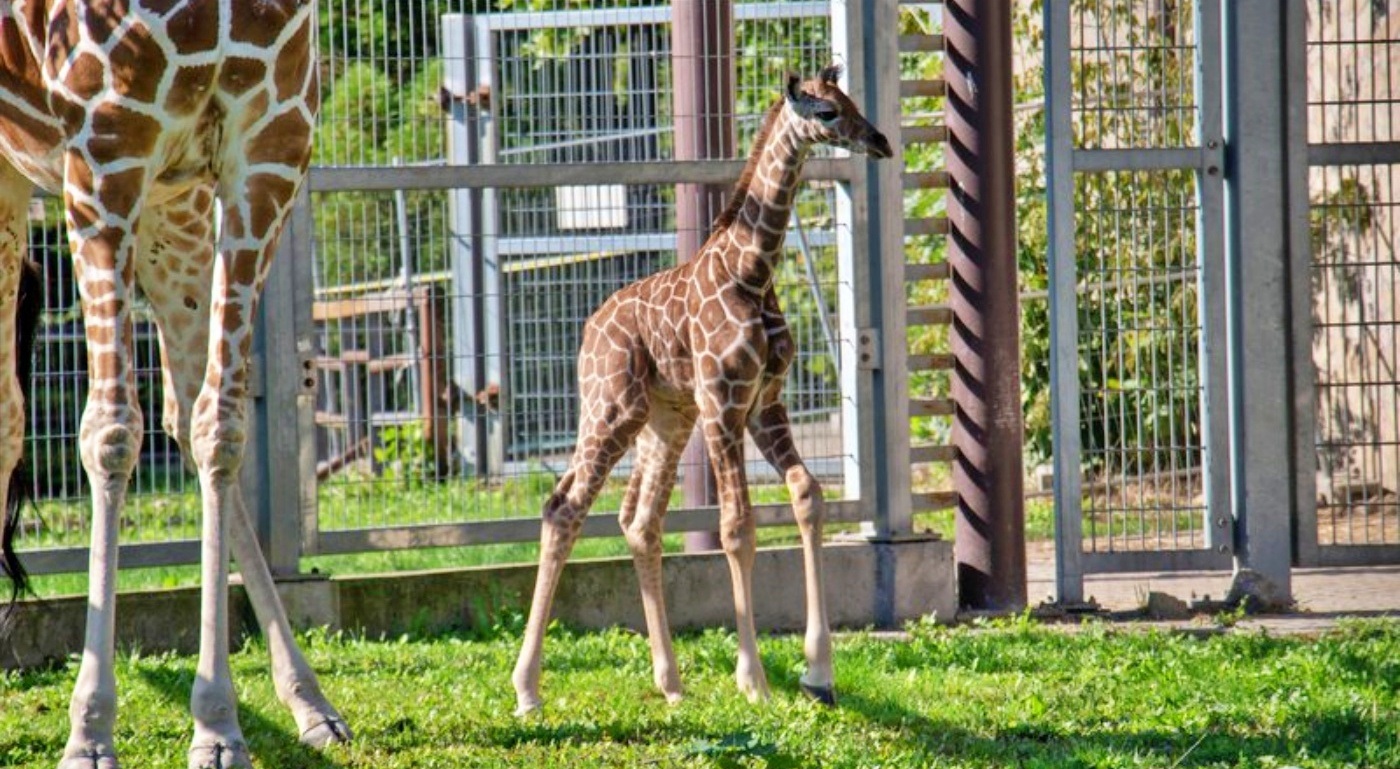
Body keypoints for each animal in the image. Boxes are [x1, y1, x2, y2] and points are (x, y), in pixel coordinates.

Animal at [0, 1, 350, 767]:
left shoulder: (268, 149)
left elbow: (221, 427)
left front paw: (218, 724)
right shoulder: (105, 153)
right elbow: (110, 432)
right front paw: (89, 730)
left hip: (168, 199)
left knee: (178, 411)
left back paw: (310, 701)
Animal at [515, 64, 896, 714]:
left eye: (850, 101)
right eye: (825, 113)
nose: (880, 142)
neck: (753, 271)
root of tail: (587, 331)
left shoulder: (765, 404)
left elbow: (808, 494)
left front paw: (818, 672)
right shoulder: (724, 403)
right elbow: (736, 527)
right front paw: (755, 680)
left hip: (666, 419)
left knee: (640, 521)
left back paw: (670, 682)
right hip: (611, 408)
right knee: (564, 507)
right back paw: (528, 689)